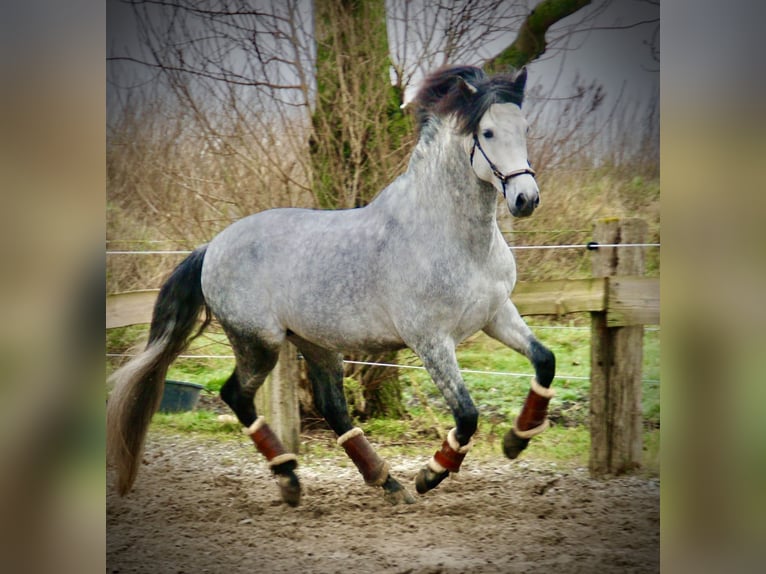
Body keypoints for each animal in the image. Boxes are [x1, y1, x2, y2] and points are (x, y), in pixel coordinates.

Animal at [108, 66, 560, 508]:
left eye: (523, 126)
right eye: (487, 132)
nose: (526, 199)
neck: (455, 238)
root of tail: (212, 248)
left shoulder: (496, 315)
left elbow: (545, 360)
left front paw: (517, 440)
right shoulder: (430, 340)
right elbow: (467, 414)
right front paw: (431, 475)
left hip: (315, 343)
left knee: (331, 407)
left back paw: (384, 482)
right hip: (259, 342)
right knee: (236, 395)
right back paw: (291, 479)